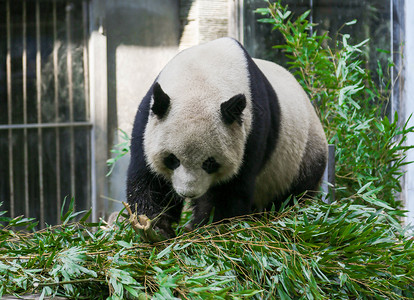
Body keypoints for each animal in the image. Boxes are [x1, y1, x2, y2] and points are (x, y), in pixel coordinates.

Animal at [126, 37, 326, 238]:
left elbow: (229, 190)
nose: (188, 193)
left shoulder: (252, 131)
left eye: (210, 163)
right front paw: (157, 226)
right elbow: (150, 179)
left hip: (301, 155)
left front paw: (205, 227)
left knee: (295, 194)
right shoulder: (148, 119)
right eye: (172, 159)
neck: (200, 80)